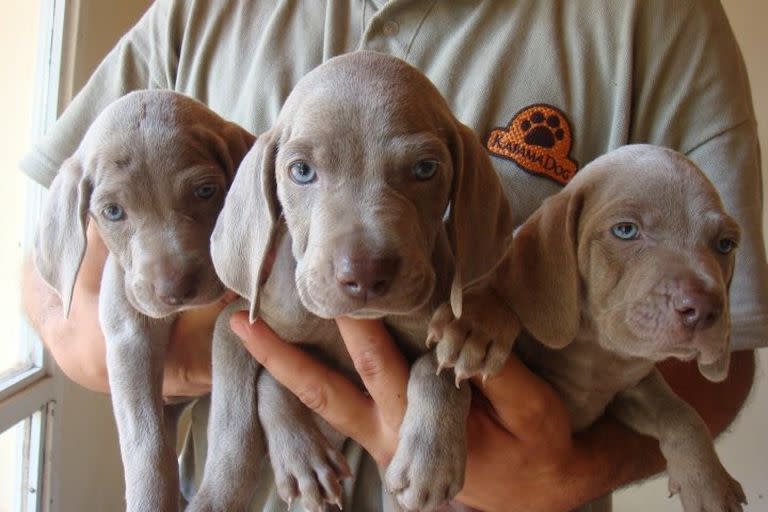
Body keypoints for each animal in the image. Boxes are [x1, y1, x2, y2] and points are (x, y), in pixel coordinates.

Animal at [33, 90, 255, 512]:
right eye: (112, 212)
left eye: (206, 191)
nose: (174, 290)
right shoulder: (129, 335)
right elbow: (146, 444)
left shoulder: (242, 318)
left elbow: (234, 418)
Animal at [190, 49, 516, 512]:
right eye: (301, 171)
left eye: (425, 168)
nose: (365, 274)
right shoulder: (239, 323)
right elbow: (234, 416)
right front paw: (220, 494)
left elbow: (437, 372)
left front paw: (430, 460)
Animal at [432, 145, 752, 512]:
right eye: (626, 230)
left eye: (725, 245)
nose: (704, 308)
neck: (597, 354)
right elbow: (497, 290)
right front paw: (476, 323)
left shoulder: (629, 389)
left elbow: (682, 413)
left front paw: (709, 483)